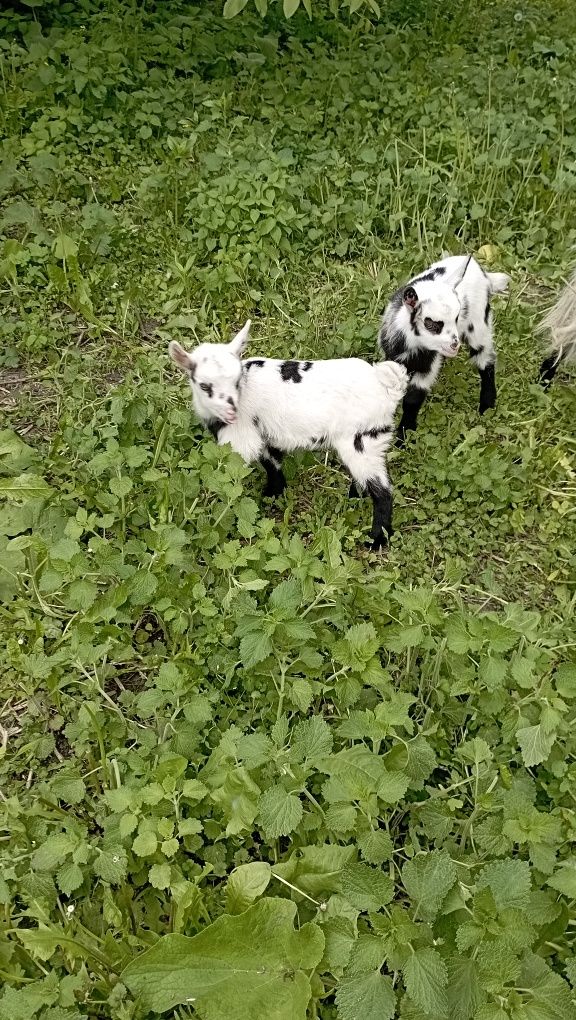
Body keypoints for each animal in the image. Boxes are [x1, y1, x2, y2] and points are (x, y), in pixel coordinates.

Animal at [168, 324, 405, 550]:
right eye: (204, 385)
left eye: (237, 381)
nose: (231, 412)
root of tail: (386, 385)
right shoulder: (262, 434)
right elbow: (272, 463)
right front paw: (274, 493)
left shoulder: (241, 440)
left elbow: (231, 477)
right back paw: (355, 497)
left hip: (361, 439)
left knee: (383, 490)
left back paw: (376, 539)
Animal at [379, 255, 509, 442]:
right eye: (431, 323)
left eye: (456, 318)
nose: (455, 345)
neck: (412, 346)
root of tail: (480, 269)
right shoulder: (392, 357)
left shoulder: (428, 365)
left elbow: (413, 398)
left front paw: (405, 437)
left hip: (478, 325)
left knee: (485, 360)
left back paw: (487, 406)